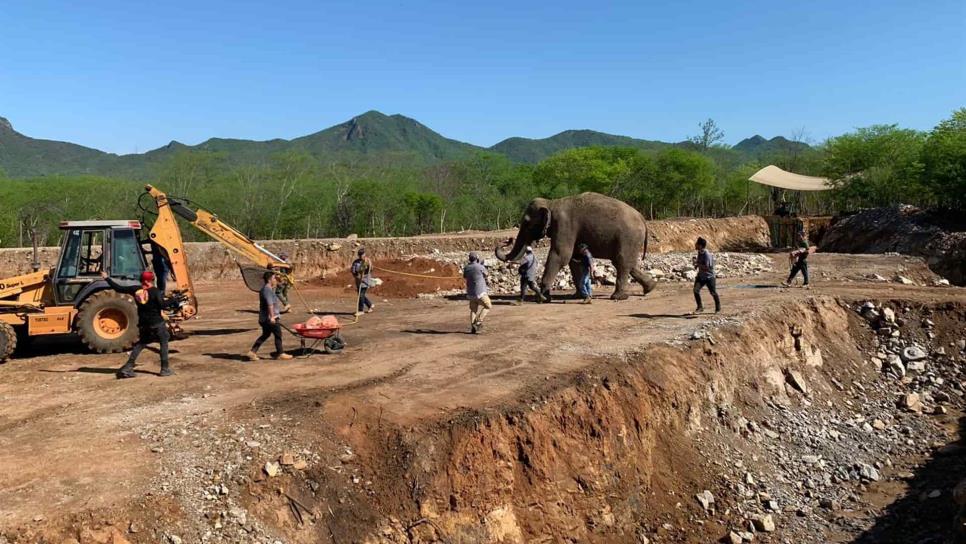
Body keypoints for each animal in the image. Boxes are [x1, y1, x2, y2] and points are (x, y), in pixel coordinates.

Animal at [496, 192, 660, 302]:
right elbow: (573, 259)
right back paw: (650, 288)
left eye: (526, 223)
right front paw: (578, 296)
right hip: (630, 240)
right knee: (626, 263)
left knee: (622, 262)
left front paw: (543, 297)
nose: (507, 240)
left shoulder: (564, 224)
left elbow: (561, 255)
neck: (551, 203)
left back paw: (618, 297)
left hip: (628, 237)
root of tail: (642, 218)